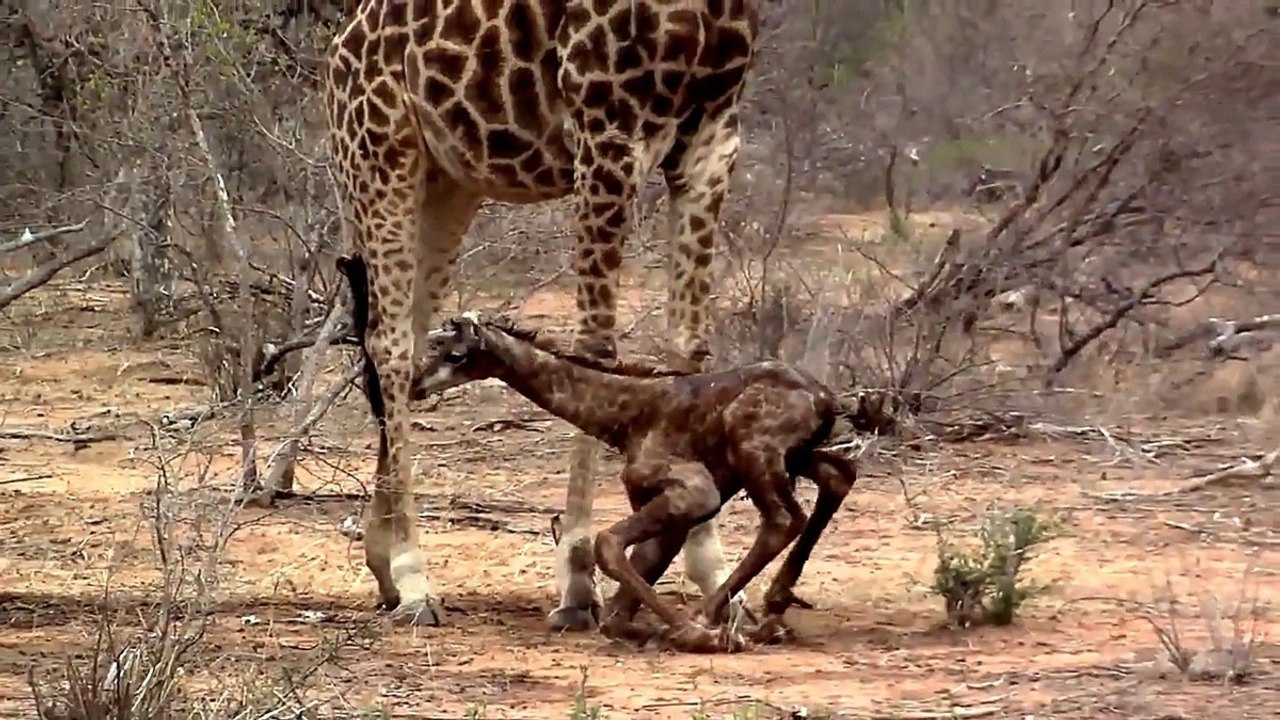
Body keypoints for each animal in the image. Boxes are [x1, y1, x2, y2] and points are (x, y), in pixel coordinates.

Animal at [323, 0, 761, 629]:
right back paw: (414, 578)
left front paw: (716, 575)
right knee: (389, 344)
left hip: (451, 179)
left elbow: (688, 347)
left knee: (402, 336)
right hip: (379, 154)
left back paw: (382, 563)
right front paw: (578, 578)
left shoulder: (712, 139)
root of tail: (339, 51)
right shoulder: (607, 136)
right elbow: (596, 348)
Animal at [406, 309, 858, 652]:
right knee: (838, 477)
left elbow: (607, 545)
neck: (624, 417)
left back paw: (712, 616)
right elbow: (619, 603)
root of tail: (826, 399)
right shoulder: (662, 501)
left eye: (458, 354)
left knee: (783, 519)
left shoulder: (696, 491)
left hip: (757, 454)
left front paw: (694, 633)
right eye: (438, 347)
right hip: (793, 458)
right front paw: (654, 628)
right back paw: (771, 610)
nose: (416, 385)